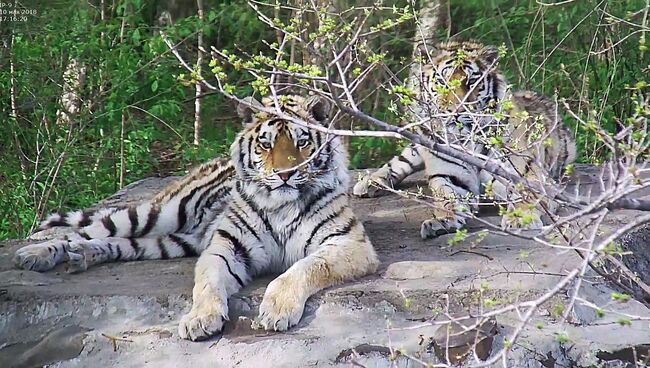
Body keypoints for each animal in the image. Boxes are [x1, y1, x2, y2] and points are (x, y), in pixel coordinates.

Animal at [12, 93, 378, 340]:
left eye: (302, 143)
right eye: (265, 144)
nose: (285, 174)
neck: (280, 205)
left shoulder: (347, 243)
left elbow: (301, 270)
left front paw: (277, 310)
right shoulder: (225, 247)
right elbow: (207, 283)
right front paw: (200, 319)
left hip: (170, 242)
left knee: (118, 242)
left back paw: (82, 256)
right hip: (160, 213)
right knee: (88, 229)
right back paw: (34, 253)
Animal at [352, 41, 576, 239]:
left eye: (471, 82)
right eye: (442, 82)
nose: (457, 111)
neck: (466, 138)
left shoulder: (529, 176)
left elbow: (527, 197)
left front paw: (519, 218)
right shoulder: (448, 175)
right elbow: (446, 198)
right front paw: (442, 220)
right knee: (399, 161)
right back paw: (369, 183)